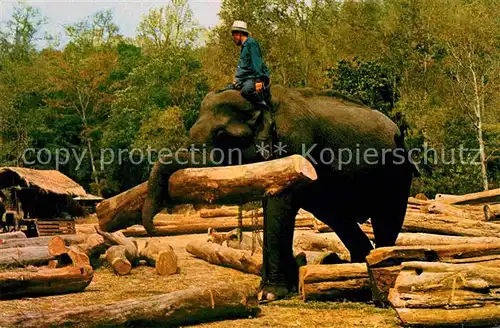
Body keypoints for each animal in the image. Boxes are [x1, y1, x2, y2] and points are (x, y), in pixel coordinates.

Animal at [143, 86, 416, 302]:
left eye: (223, 136)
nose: (152, 228)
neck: (265, 103)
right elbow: (271, 210)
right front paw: (277, 289)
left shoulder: (295, 143)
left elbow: (279, 207)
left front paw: (270, 293)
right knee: (339, 220)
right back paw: (350, 267)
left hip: (397, 173)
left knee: (386, 220)